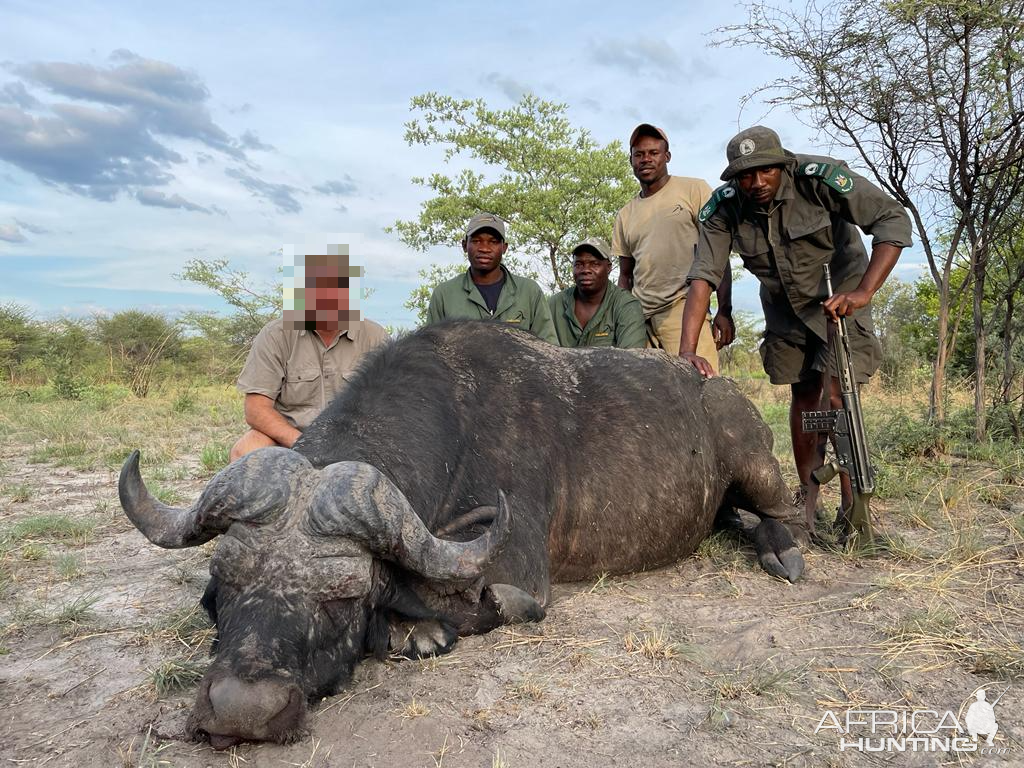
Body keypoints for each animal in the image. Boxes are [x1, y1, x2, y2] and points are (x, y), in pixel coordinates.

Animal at [119, 321, 802, 749]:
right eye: (223, 587)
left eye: (341, 598)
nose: (240, 711)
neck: (457, 426)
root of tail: (709, 386)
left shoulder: (519, 575)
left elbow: (477, 605)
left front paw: (417, 630)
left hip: (757, 466)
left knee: (782, 512)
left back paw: (784, 553)